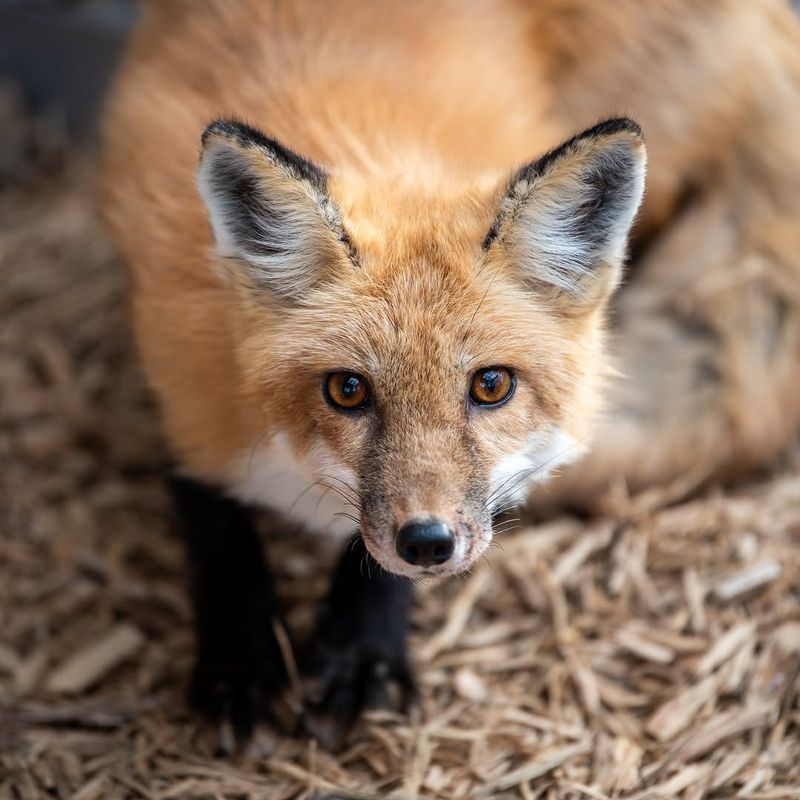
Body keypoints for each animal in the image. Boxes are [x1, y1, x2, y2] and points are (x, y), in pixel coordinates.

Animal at [101, 0, 800, 746]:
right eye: (347, 390)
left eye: (491, 386)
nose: (428, 544)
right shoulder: (177, 372)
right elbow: (213, 524)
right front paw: (240, 663)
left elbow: (376, 557)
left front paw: (364, 651)